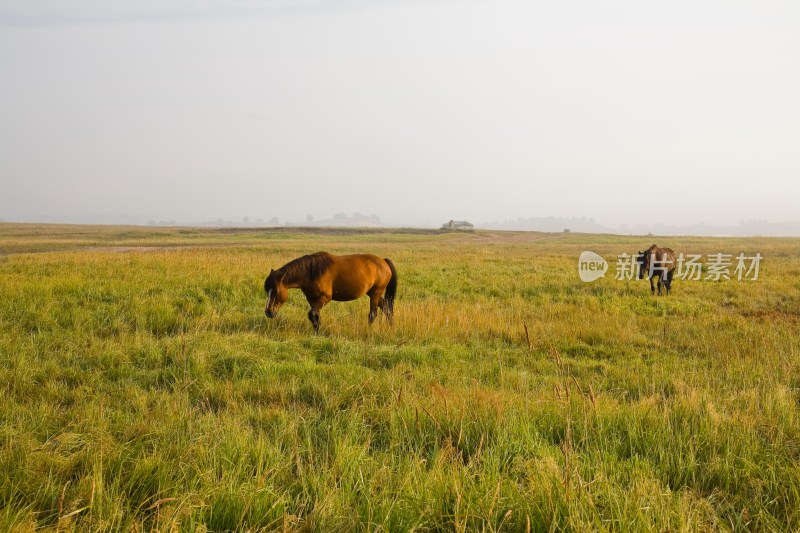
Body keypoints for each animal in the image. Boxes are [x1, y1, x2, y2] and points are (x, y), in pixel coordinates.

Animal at [264, 251, 398, 330]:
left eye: (276, 291)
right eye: (267, 291)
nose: (268, 312)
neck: (312, 272)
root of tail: (383, 261)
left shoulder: (325, 298)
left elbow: (312, 314)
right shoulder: (312, 299)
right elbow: (315, 316)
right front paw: (317, 332)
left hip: (376, 292)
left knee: (373, 314)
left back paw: (368, 330)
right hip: (372, 293)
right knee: (387, 308)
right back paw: (390, 326)